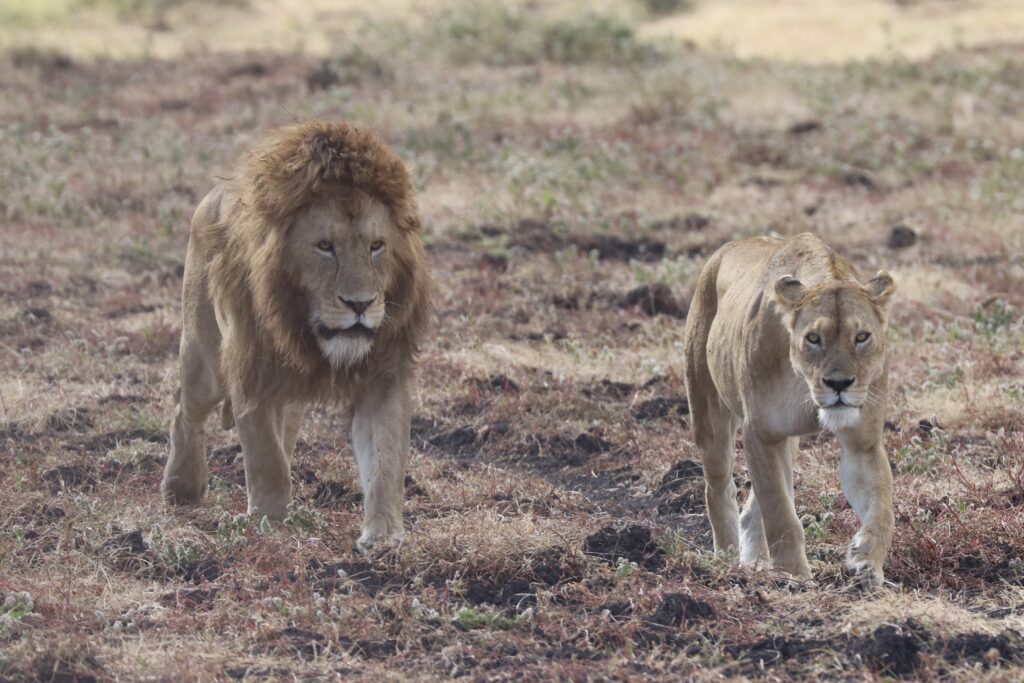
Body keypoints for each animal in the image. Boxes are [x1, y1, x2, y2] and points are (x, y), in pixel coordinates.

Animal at [158, 121, 428, 548]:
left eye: (376, 245)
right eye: (325, 247)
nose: (360, 304)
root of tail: (213, 193)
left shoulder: (383, 372)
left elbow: (386, 458)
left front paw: (384, 536)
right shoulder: (250, 368)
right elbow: (264, 457)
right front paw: (271, 523)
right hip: (206, 361)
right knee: (184, 409)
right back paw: (182, 487)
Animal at [688, 233, 897, 589]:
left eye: (862, 336)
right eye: (813, 338)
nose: (839, 383)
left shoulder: (863, 441)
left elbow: (882, 505)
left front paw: (866, 562)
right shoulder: (760, 432)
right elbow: (780, 514)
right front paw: (794, 577)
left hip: (787, 441)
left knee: (753, 506)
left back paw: (756, 563)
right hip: (709, 413)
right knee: (719, 488)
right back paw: (727, 561)